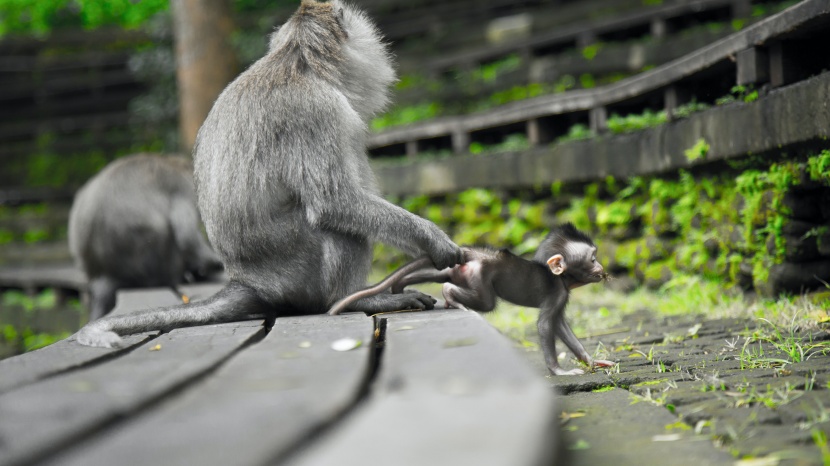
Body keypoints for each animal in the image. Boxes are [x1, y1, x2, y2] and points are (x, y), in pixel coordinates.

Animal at [332, 222, 616, 374]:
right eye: (592, 258)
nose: (602, 268)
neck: (559, 277)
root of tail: (479, 254)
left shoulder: (562, 295)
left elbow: (560, 326)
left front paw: (592, 360)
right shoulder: (556, 292)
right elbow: (547, 325)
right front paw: (559, 370)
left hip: (463, 270)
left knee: (443, 273)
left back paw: (401, 287)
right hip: (479, 276)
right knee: (478, 299)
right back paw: (451, 297)